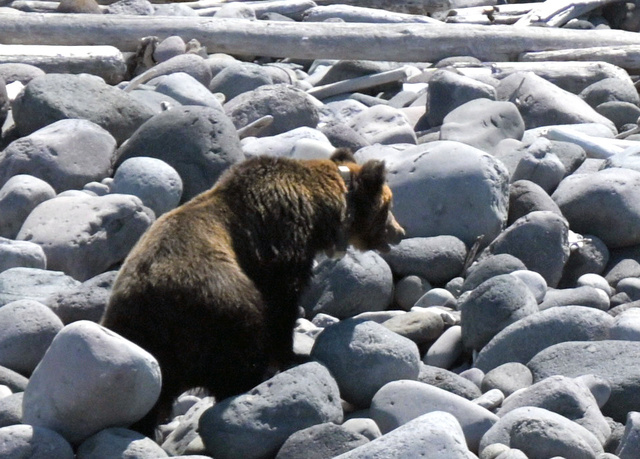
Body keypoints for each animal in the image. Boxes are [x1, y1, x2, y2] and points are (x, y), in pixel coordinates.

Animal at [100, 149, 402, 436]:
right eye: (388, 206)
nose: (399, 232)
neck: (318, 211)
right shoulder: (278, 245)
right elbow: (281, 304)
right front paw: (294, 355)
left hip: (146, 344)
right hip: (213, 305)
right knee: (239, 346)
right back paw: (252, 381)